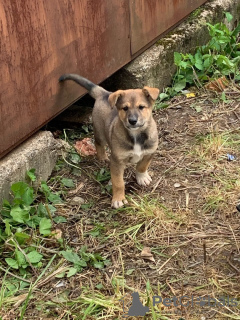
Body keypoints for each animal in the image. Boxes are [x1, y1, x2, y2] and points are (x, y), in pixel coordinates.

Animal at [58, 74, 159, 209]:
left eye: (141, 107)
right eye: (125, 108)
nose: (132, 121)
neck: (136, 135)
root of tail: (104, 94)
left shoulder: (149, 152)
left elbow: (142, 166)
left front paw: (142, 177)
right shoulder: (116, 161)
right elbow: (118, 182)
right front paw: (118, 199)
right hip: (100, 133)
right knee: (98, 143)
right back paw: (102, 158)